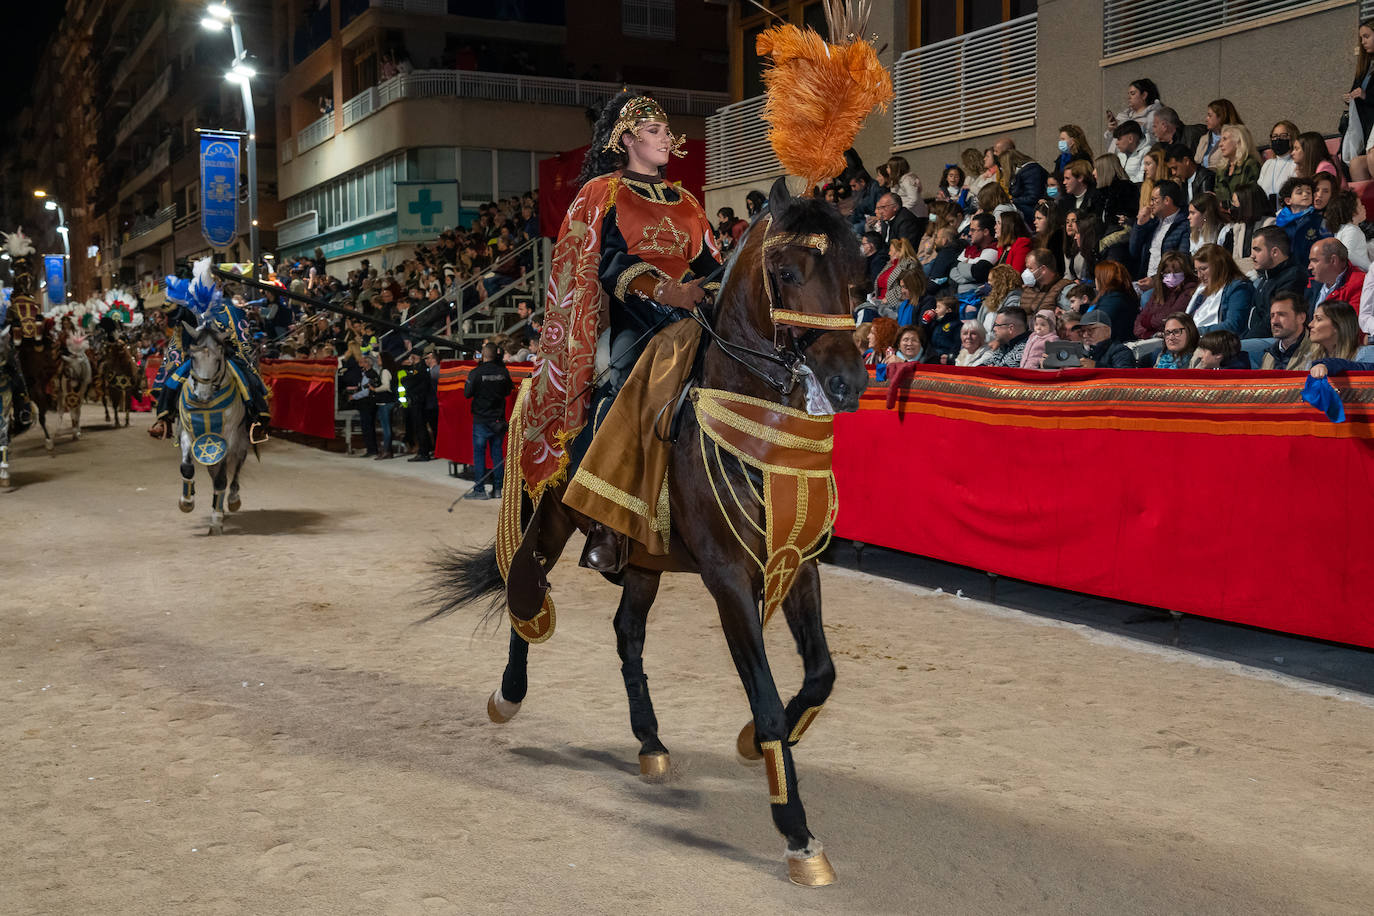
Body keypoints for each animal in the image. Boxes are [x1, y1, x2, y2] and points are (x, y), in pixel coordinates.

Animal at [177, 324, 252, 532]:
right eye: (192, 358)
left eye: (218, 360)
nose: (202, 396)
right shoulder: (188, 434)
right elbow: (187, 467)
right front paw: (187, 502)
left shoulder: (227, 440)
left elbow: (221, 479)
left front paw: (216, 520)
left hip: (241, 441)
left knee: (236, 468)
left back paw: (232, 500)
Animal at [428, 181, 868, 889]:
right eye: (787, 272)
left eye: (856, 275)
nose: (847, 383)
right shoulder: (728, 577)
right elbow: (769, 697)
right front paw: (798, 835)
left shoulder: (797, 562)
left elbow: (820, 675)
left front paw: (751, 745)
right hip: (546, 520)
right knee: (524, 588)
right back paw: (508, 695)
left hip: (643, 562)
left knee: (626, 633)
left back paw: (650, 742)